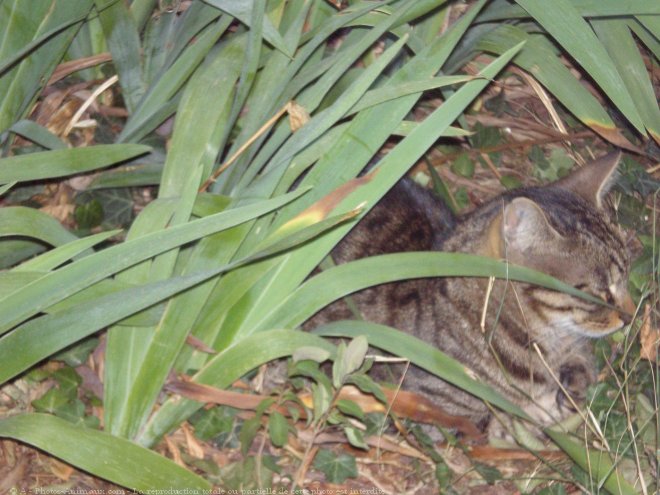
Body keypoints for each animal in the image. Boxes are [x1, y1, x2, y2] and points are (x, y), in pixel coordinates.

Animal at [318, 152, 636, 438]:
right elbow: (505, 423)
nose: (630, 316)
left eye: (626, 277)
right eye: (599, 291)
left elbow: (582, 368)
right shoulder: (433, 412)